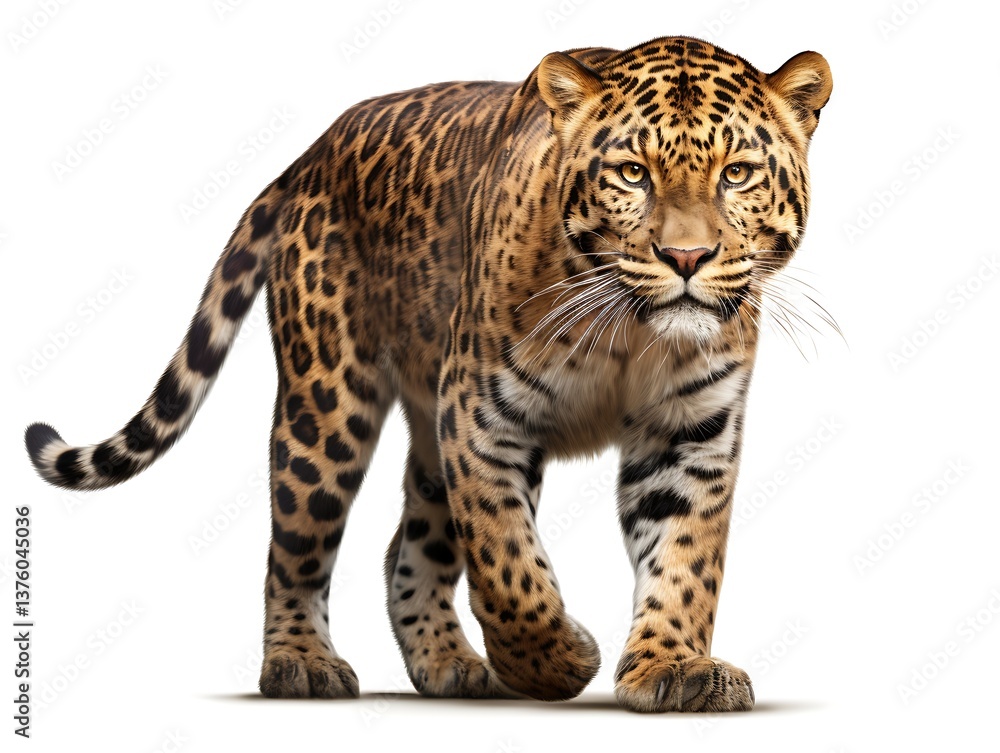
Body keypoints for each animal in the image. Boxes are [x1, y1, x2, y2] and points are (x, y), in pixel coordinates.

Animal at [25, 36, 832, 712]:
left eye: (737, 174)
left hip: (423, 429)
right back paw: (301, 663)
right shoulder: (482, 417)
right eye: (633, 173)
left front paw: (671, 666)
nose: (687, 258)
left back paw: (448, 662)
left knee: (406, 549)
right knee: (294, 548)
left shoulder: (689, 435)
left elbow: (687, 560)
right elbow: (507, 566)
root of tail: (310, 153)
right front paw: (559, 662)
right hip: (327, 410)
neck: (631, 334)